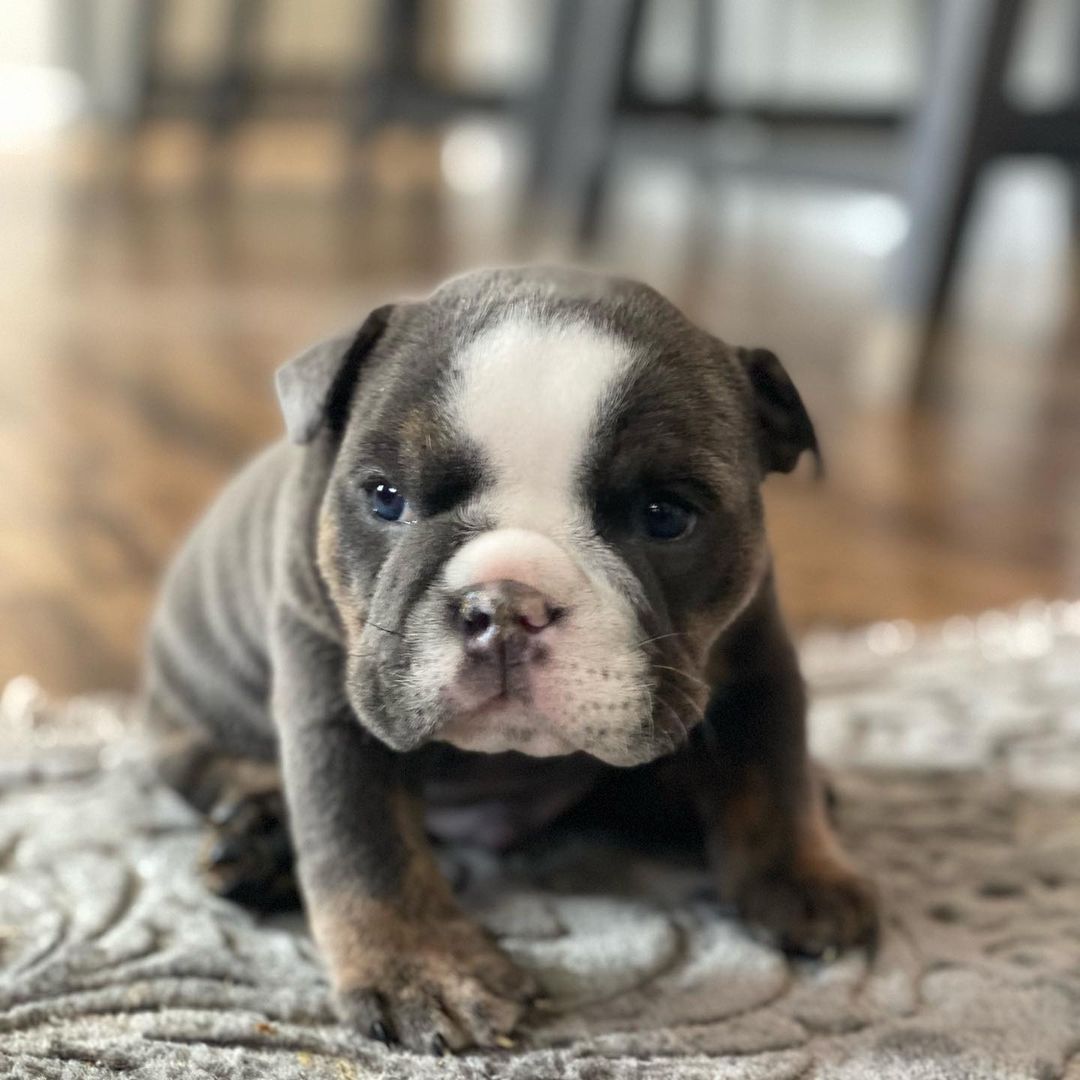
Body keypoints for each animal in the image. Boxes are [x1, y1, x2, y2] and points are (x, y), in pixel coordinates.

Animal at [147, 267, 876, 1054]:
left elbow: (770, 766)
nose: (505, 605)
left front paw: (802, 878)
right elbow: (362, 839)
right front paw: (425, 970)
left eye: (666, 516)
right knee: (221, 771)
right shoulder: (334, 700)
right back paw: (255, 843)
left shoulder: (757, 657)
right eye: (385, 499)